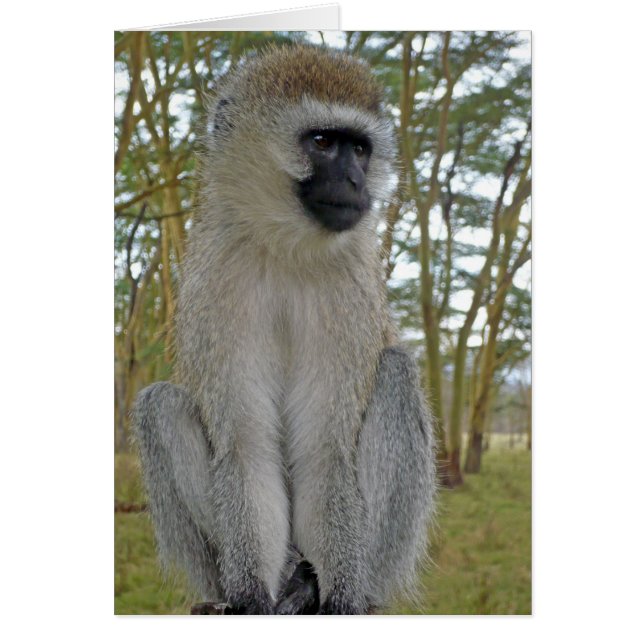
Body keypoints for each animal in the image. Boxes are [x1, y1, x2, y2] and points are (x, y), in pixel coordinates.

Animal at [132, 44, 436, 615]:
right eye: (322, 142)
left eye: (360, 149)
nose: (357, 183)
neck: (285, 248)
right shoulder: (217, 281)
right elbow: (246, 444)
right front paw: (250, 597)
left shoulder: (347, 293)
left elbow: (325, 449)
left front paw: (341, 600)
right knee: (157, 403)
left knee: (396, 371)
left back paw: (326, 587)